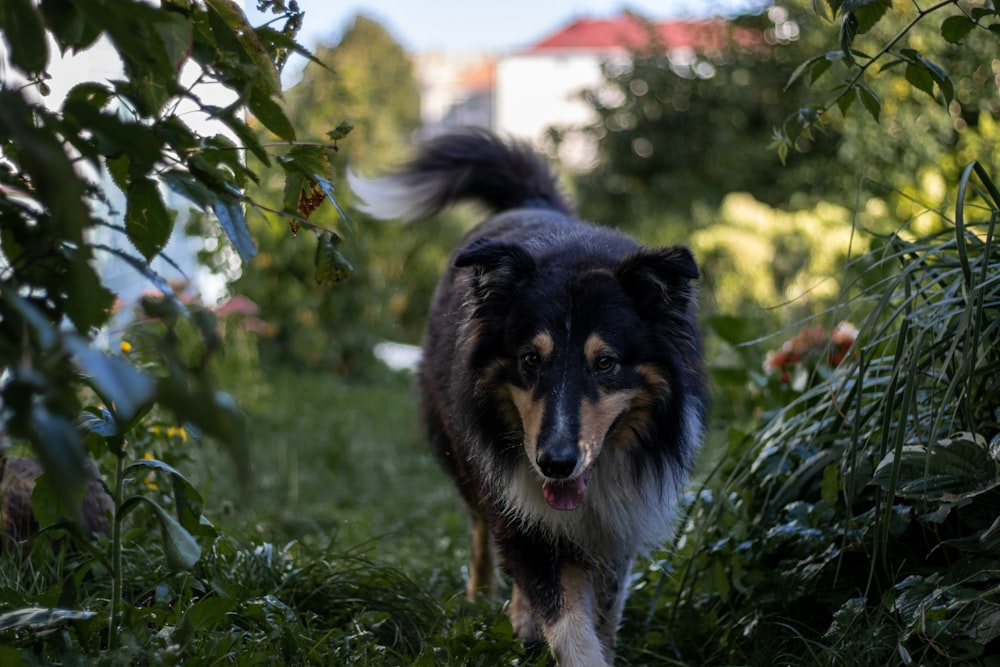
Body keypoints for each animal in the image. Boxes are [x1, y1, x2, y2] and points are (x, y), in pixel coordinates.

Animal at [348, 128, 708, 664]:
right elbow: (563, 615)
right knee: (482, 529)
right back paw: (494, 603)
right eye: (530, 360)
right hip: (462, 452)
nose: (554, 464)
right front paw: (544, 627)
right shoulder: (519, 501)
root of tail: (534, 203)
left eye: (605, 363)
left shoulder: (619, 519)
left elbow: (604, 608)